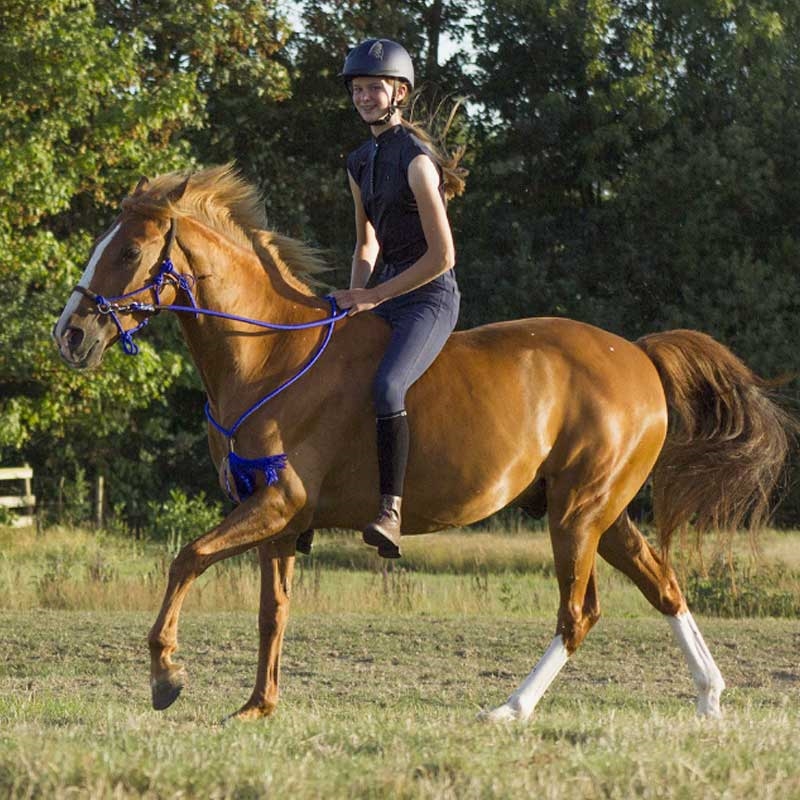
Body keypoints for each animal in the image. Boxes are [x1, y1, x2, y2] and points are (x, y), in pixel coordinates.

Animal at [51, 166, 792, 720]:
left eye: (128, 252)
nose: (71, 335)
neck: (269, 355)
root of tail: (637, 355)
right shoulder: (278, 519)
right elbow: (271, 611)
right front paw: (258, 706)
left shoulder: (279, 502)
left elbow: (187, 559)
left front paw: (166, 676)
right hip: (601, 513)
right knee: (662, 585)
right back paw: (709, 698)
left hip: (578, 514)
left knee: (578, 614)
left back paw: (510, 710)